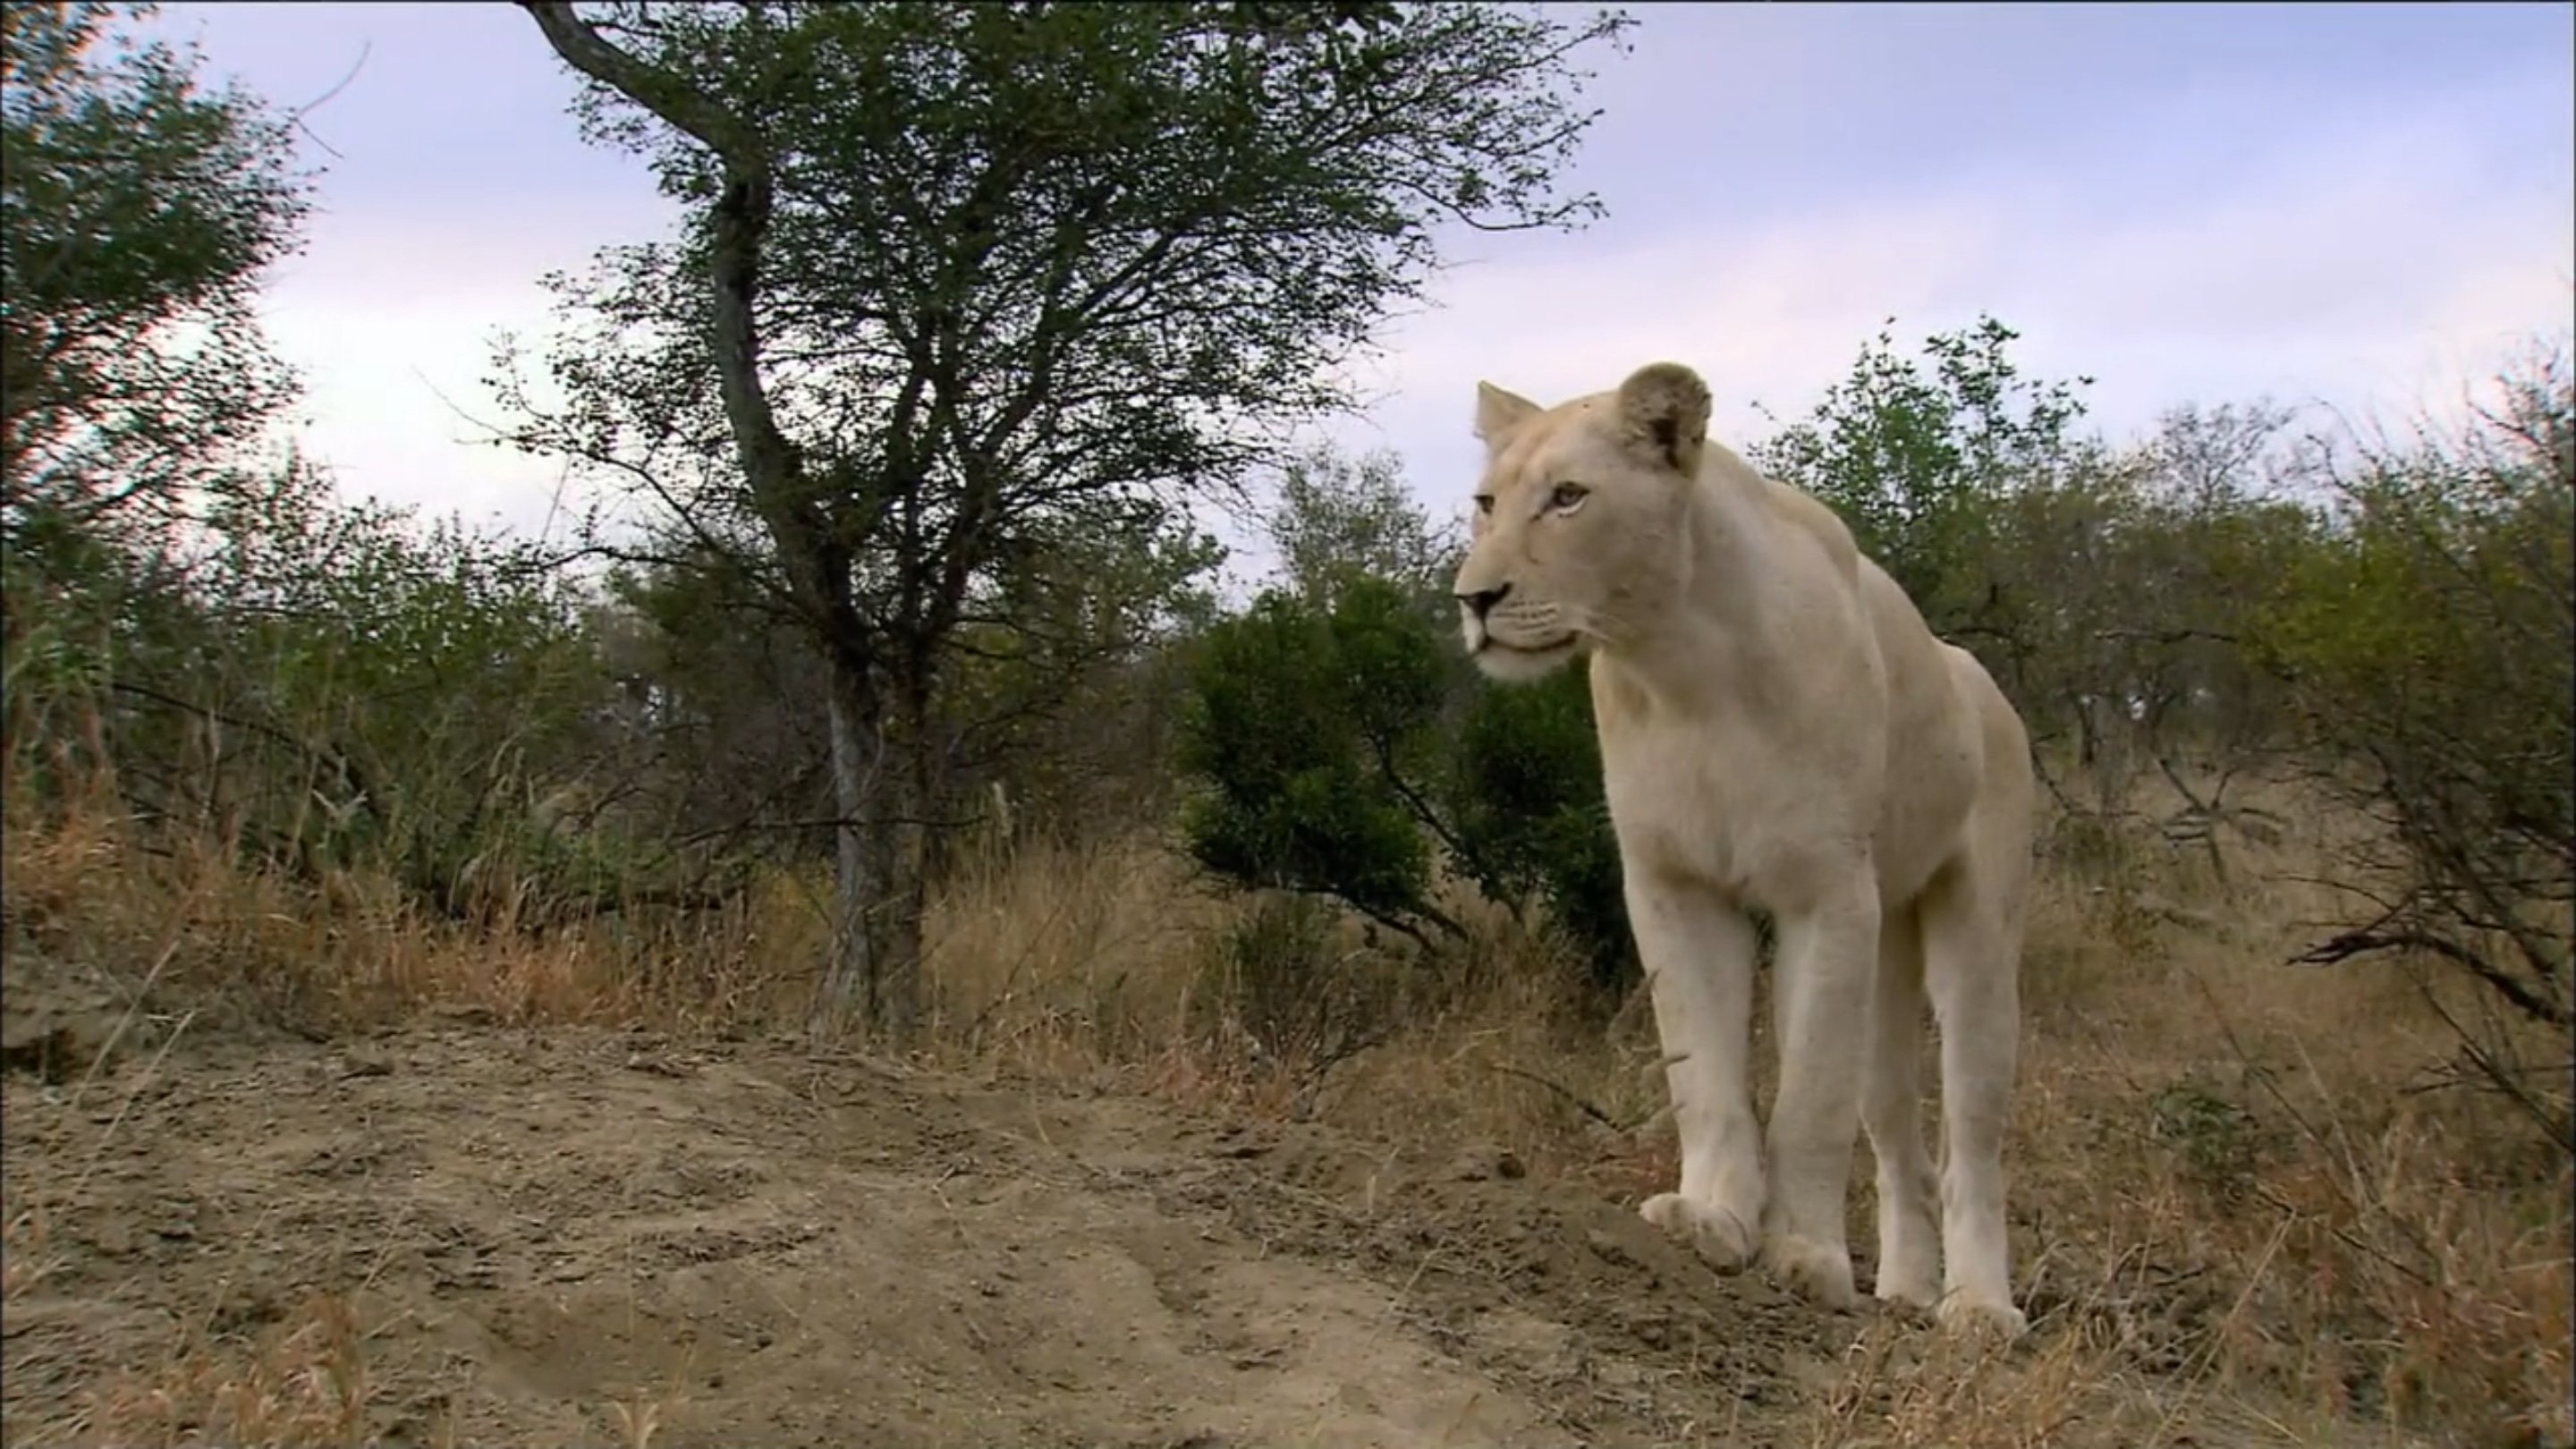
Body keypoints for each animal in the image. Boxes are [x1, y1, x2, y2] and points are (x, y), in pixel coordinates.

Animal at [1453, 362, 2035, 1338]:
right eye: (1487, 503)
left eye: (1569, 498)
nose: (1474, 600)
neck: (1683, 665)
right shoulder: (1676, 885)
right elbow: (1707, 1078)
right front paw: (1713, 1221)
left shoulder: (1827, 893)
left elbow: (1808, 1100)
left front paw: (1805, 1258)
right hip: (1887, 948)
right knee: (1900, 1144)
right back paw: (1905, 1292)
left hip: (1978, 934)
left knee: (1972, 1140)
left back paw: (1977, 1310)